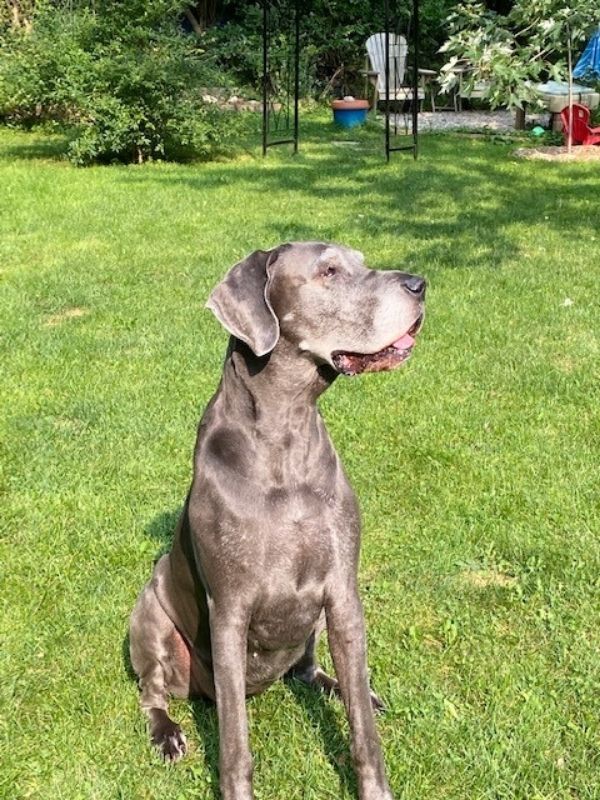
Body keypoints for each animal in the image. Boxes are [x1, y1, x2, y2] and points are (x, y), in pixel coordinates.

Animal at [129, 242, 424, 800]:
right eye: (328, 270)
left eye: (361, 260)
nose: (420, 284)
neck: (287, 433)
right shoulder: (229, 609)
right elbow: (235, 742)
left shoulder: (342, 593)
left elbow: (363, 730)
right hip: (149, 610)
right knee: (152, 692)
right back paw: (167, 733)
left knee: (309, 670)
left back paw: (339, 686)